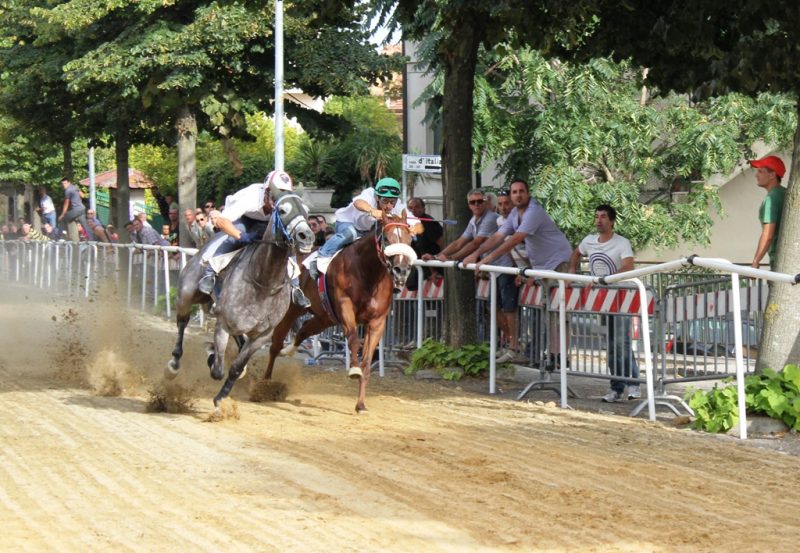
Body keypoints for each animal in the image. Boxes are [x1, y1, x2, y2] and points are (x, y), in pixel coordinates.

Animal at [165, 192, 315, 406]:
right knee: (182, 323)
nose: (306, 236)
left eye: (307, 210)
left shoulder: (262, 336)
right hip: (186, 294)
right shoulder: (223, 323)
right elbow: (217, 369)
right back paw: (173, 364)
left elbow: (236, 367)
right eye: (283, 210)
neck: (265, 281)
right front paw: (211, 355)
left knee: (238, 338)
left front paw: (221, 398)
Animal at [263, 216, 417, 413]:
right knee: (275, 344)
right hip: (291, 309)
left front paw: (361, 404)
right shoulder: (345, 307)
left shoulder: (377, 322)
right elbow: (353, 340)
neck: (368, 272)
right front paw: (354, 370)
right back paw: (265, 382)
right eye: (387, 239)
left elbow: (367, 361)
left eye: (409, 240)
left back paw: (289, 351)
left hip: (323, 318)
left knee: (303, 330)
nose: (401, 270)